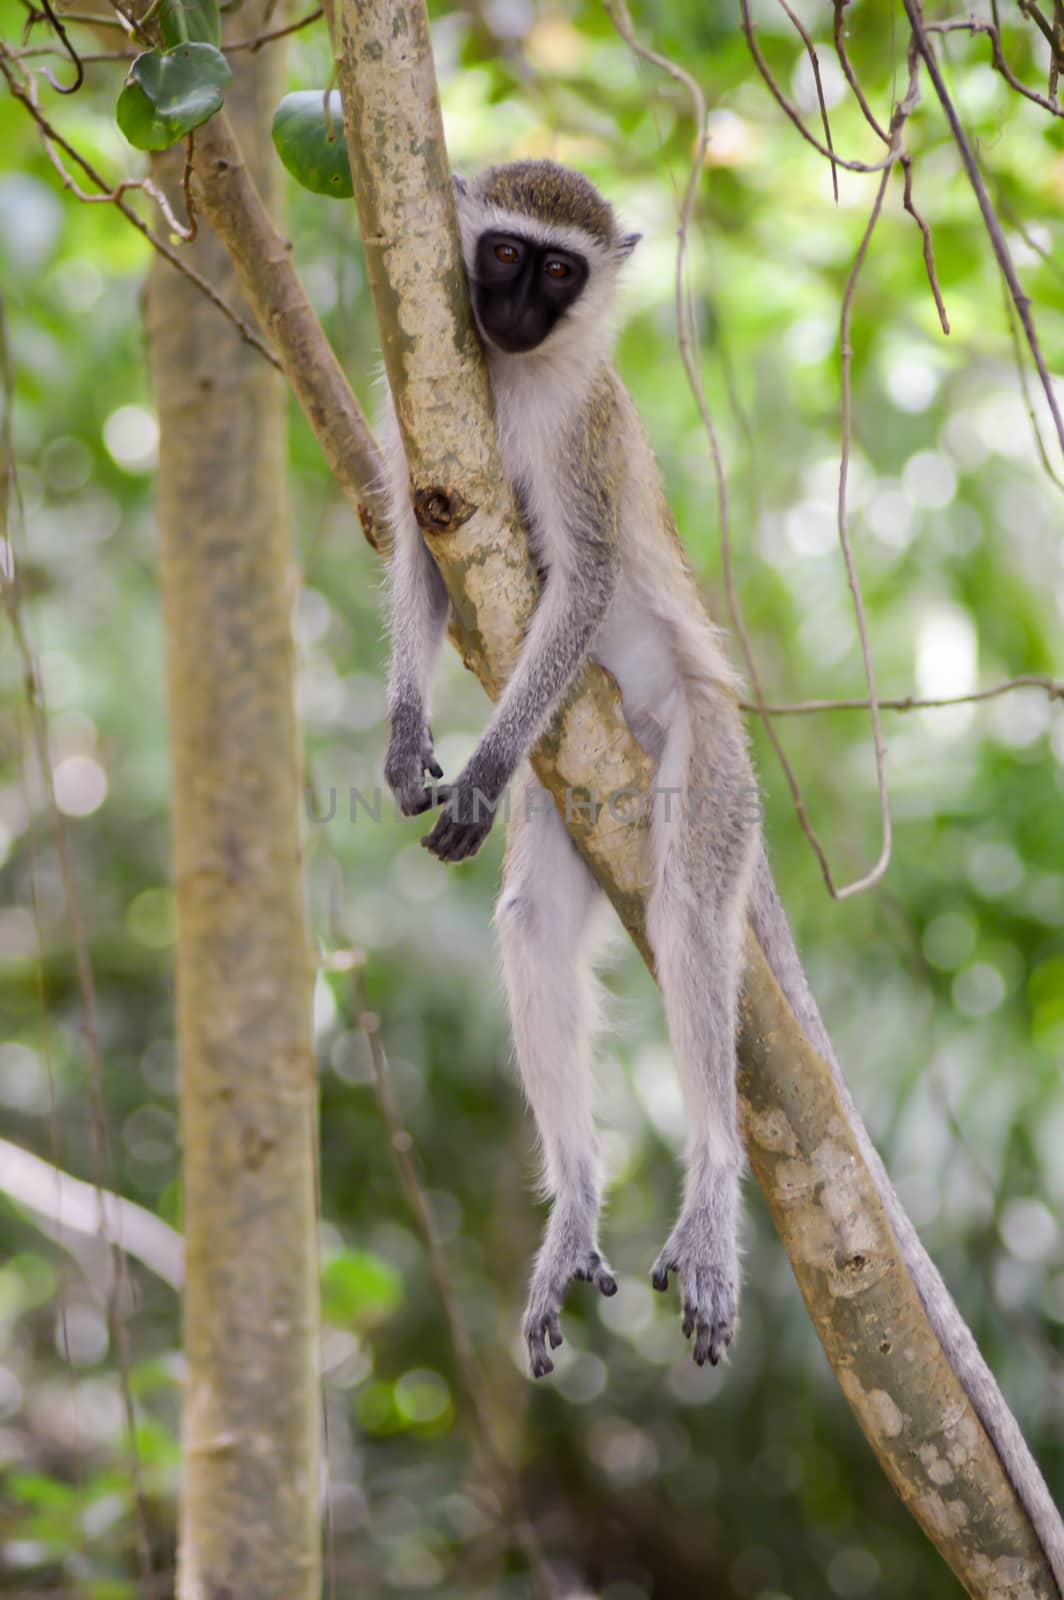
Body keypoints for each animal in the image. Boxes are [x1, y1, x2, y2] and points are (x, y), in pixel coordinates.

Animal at [377, 156, 1062, 1580]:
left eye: (562, 271)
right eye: (504, 253)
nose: (516, 312)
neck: (512, 379)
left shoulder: (584, 437)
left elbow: (581, 580)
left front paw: (480, 762)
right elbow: (419, 550)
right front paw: (409, 735)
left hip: (701, 761)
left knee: (694, 916)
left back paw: (706, 1196)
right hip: (581, 801)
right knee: (531, 921)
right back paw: (575, 1205)